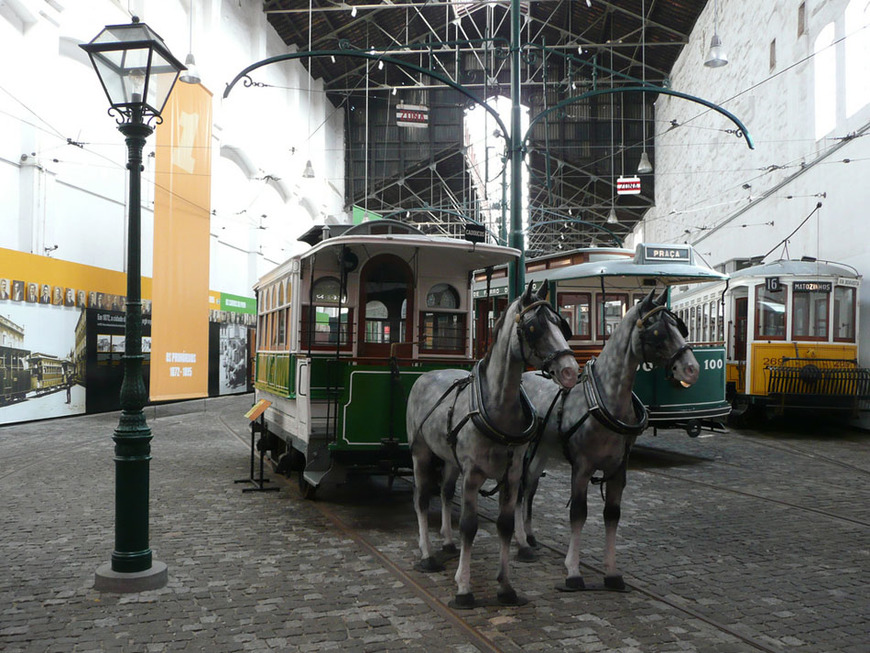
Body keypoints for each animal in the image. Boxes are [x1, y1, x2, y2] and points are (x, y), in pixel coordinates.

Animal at [408, 280, 580, 608]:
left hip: (450, 459)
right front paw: (464, 588)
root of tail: (426, 374)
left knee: (445, 492)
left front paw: (506, 587)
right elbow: (469, 526)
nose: (570, 371)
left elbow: (505, 525)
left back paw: (447, 541)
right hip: (421, 454)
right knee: (422, 499)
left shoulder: (511, 477)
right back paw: (426, 554)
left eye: (561, 323)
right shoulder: (473, 475)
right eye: (534, 327)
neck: (497, 406)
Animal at [516, 290, 700, 592]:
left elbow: (612, 514)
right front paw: (573, 570)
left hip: (543, 448)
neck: (606, 400)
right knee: (519, 487)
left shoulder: (618, 469)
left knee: (530, 485)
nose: (692, 369)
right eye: (658, 331)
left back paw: (529, 536)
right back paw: (520, 543)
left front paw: (612, 572)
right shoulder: (581, 467)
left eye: (679, 326)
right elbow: (578, 513)